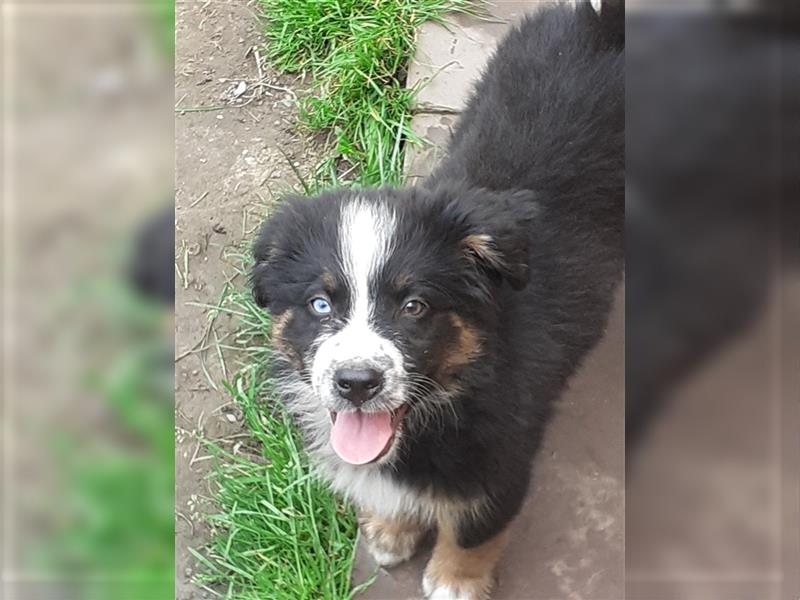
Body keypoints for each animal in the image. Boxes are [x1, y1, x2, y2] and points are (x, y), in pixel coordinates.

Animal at [250, 2, 624, 596]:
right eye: (320, 305)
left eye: (414, 307)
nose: (356, 384)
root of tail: (604, 27)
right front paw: (390, 530)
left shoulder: (501, 454)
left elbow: (474, 526)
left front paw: (455, 581)